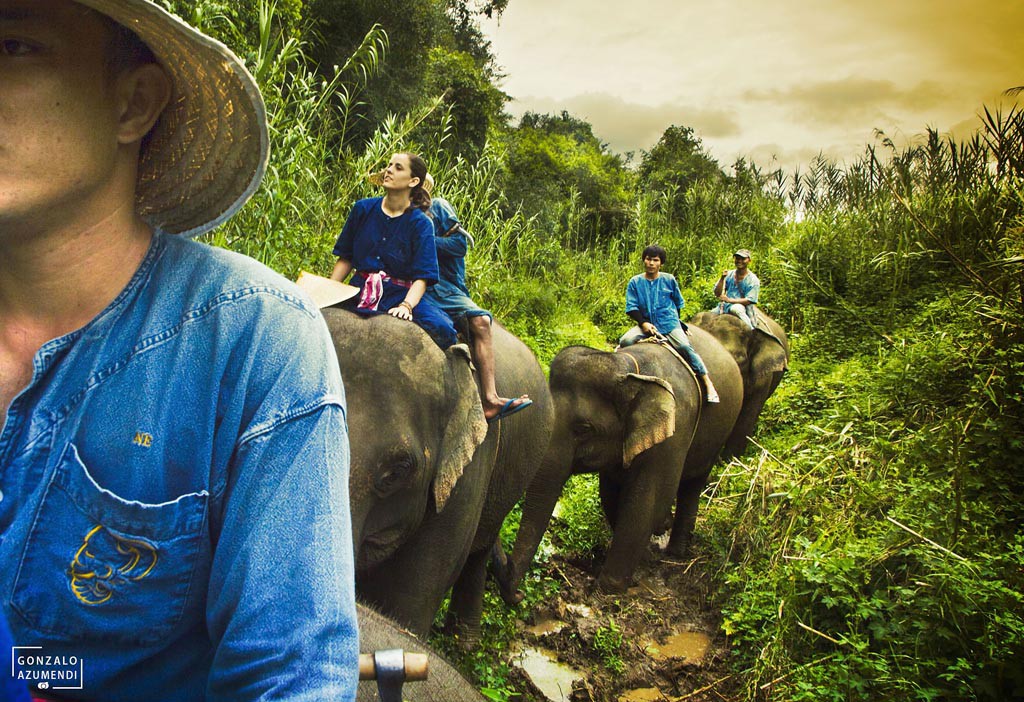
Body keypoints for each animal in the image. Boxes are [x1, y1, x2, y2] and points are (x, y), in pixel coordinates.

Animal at [325, 311, 552, 646]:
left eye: (396, 473)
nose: (521, 596)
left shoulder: (470, 470)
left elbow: (408, 603)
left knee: (479, 549)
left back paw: (464, 643)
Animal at [493, 329, 741, 597]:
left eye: (584, 429)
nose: (518, 594)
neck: (629, 369)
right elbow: (612, 495)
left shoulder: (674, 435)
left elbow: (648, 502)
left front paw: (607, 588)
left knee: (692, 486)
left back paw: (676, 552)